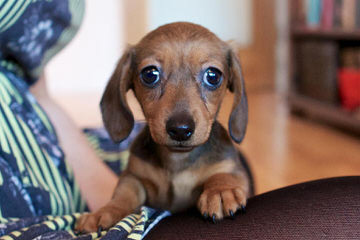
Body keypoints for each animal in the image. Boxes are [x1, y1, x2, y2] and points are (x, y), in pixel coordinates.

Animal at [75, 22, 253, 232]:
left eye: (213, 76)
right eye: (150, 74)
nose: (180, 129)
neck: (177, 159)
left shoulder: (230, 168)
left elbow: (224, 175)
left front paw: (221, 191)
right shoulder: (133, 177)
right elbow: (123, 195)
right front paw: (105, 211)